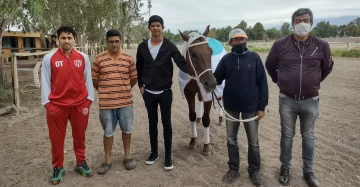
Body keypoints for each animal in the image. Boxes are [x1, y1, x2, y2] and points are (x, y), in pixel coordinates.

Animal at [177, 25, 225, 156]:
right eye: (193, 54)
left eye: (210, 51)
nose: (211, 82)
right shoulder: (189, 92)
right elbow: (192, 115)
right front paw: (192, 141)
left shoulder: (209, 93)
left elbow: (206, 119)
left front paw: (206, 146)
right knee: (199, 100)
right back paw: (198, 118)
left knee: (220, 98)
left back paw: (221, 118)